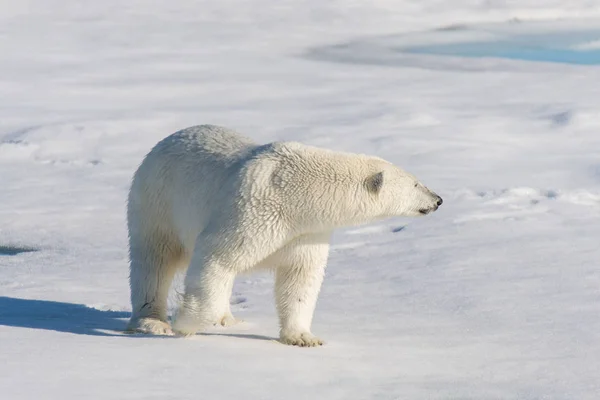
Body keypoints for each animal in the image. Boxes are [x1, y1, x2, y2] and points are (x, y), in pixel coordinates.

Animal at [126, 123, 442, 346]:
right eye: (416, 184)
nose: (438, 199)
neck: (299, 194)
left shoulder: (306, 232)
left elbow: (300, 277)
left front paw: (303, 338)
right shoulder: (252, 211)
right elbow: (217, 258)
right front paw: (184, 325)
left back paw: (229, 319)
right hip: (157, 201)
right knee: (154, 259)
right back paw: (151, 322)